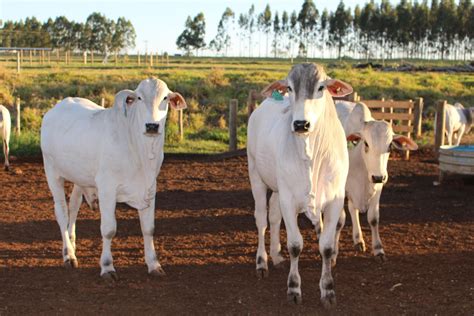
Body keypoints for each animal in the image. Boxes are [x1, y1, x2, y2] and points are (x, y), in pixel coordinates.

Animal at [40, 78, 187, 278]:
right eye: (139, 98)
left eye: (165, 98)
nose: (152, 126)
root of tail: (55, 109)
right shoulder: (107, 189)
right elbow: (109, 230)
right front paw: (107, 266)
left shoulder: (150, 188)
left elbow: (148, 228)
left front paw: (154, 264)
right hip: (52, 172)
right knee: (62, 212)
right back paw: (68, 255)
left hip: (79, 177)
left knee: (74, 206)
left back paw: (72, 242)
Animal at [248, 63, 352, 308]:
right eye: (289, 88)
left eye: (321, 87)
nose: (300, 124)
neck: (311, 155)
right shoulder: (289, 200)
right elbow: (295, 245)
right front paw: (294, 288)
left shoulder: (334, 201)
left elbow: (326, 246)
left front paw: (328, 289)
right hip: (256, 175)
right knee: (262, 219)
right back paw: (262, 262)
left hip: (278, 188)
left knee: (274, 217)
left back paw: (276, 256)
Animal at [328, 102, 416, 260]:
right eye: (366, 144)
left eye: (390, 146)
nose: (378, 177)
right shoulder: (339, 189)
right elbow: (339, 221)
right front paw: (332, 252)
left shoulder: (377, 188)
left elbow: (373, 218)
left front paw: (378, 249)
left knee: (353, 209)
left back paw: (358, 239)